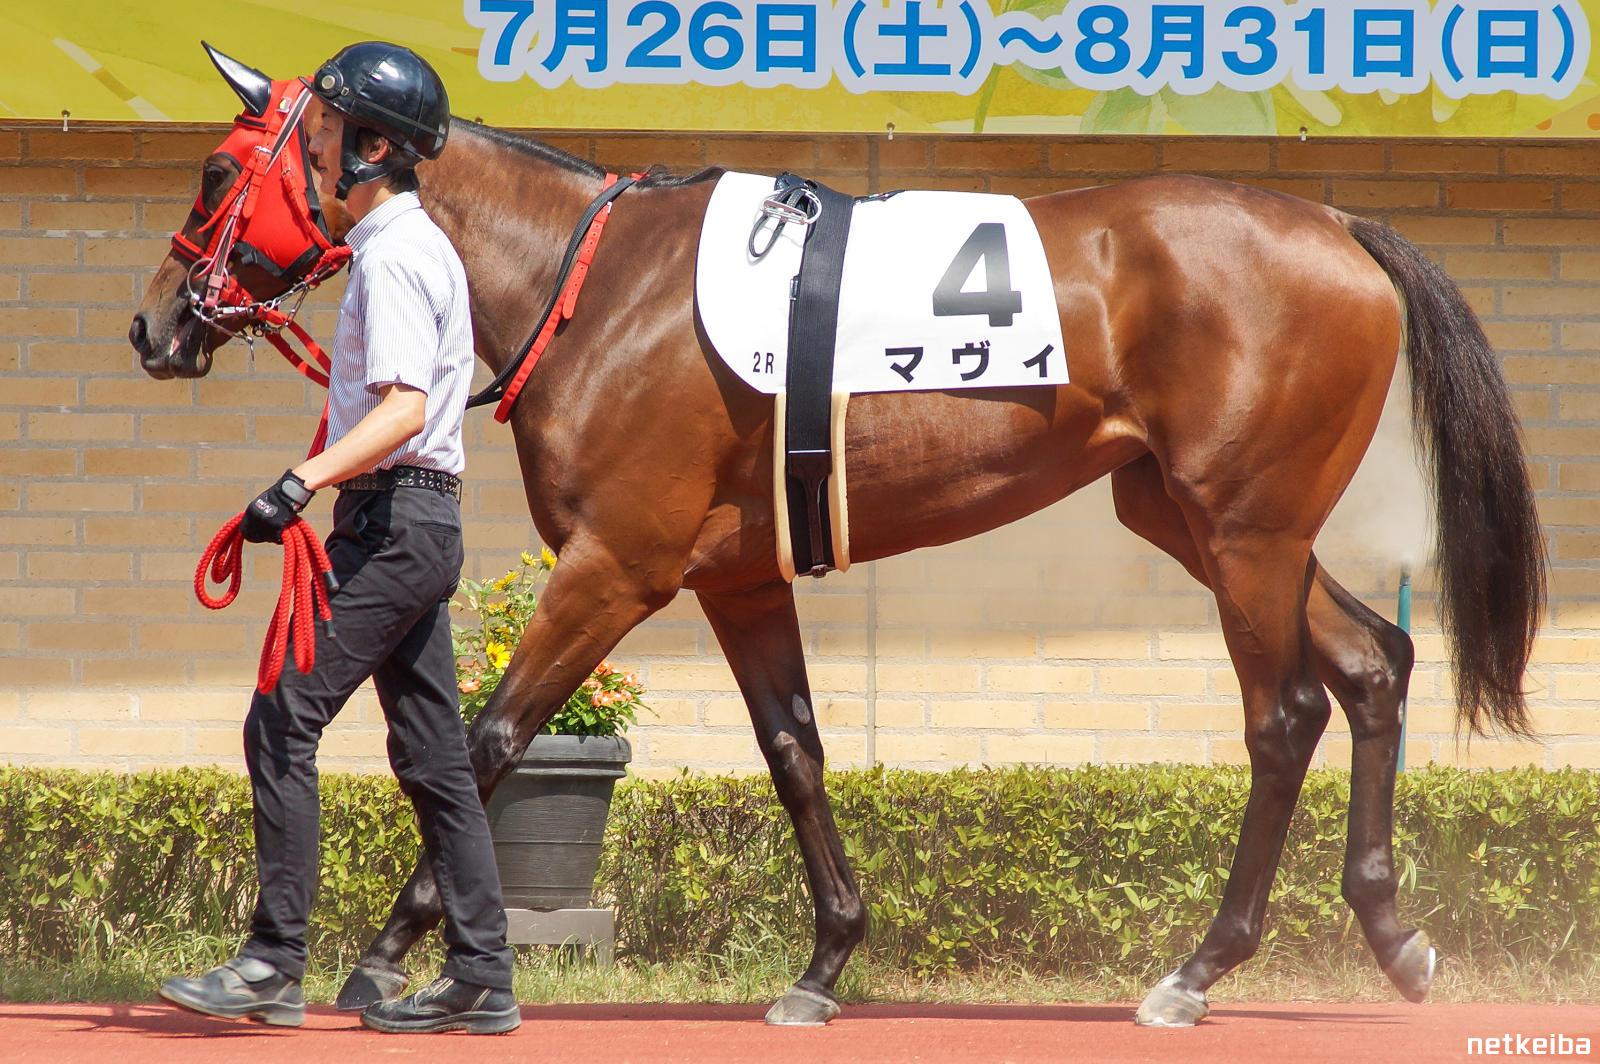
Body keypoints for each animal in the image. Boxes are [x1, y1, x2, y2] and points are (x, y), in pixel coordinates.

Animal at [129, 65, 1545, 1028]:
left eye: (215, 172)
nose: (156, 324)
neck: (599, 285)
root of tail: (1338, 227)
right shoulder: (738, 577)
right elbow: (794, 749)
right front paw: (824, 961)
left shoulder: (615, 567)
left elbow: (487, 740)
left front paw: (384, 956)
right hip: (1199, 516)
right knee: (1372, 662)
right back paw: (1393, 932)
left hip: (1243, 527)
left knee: (1288, 712)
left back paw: (1197, 969)